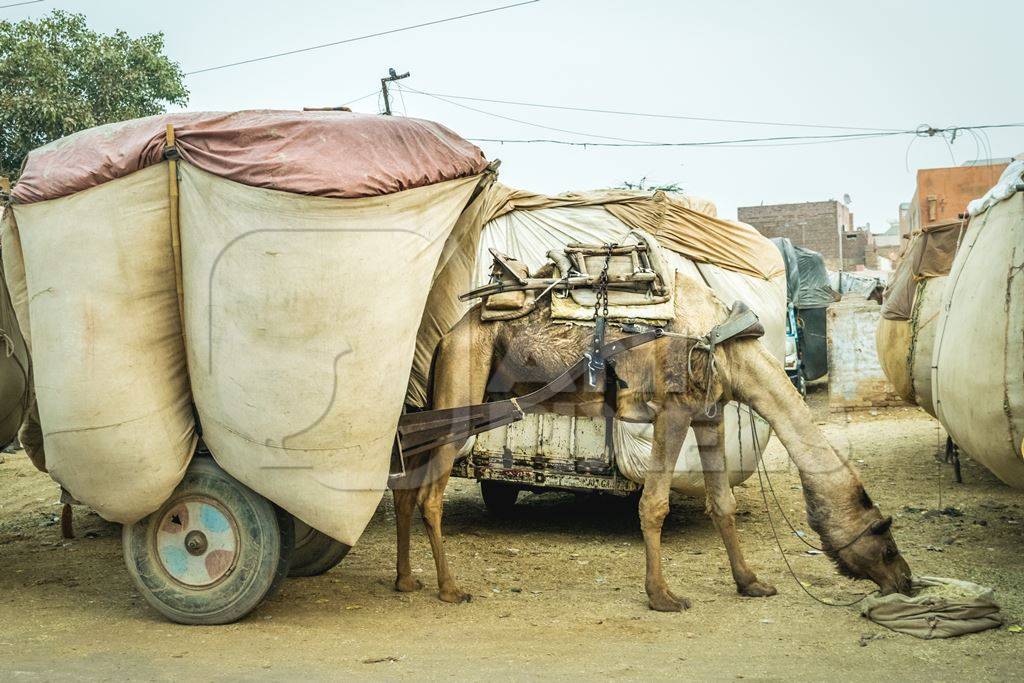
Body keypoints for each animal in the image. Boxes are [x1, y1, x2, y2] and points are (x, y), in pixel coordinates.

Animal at [391, 270, 913, 610]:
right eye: (884, 540)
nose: (906, 580)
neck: (730, 350)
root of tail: (447, 336)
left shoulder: (708, 416)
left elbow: (722, 503)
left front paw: (751, 583)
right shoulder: (673, 411)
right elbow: (654, 504)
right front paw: (662, 596)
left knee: (406, 482)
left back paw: (406, 580)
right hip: (464, 383)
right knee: (430, 493)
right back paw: (450, 589)